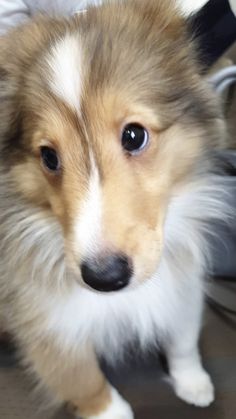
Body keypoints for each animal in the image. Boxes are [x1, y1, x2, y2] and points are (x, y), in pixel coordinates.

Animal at [0, 0, 230, 419]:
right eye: (48, 156)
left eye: (134, 135)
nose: (103, 278)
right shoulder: (47, 320)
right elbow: (82, 376)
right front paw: (111, 412)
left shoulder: (181, 282)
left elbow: (183, 336)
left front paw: (193, 382)